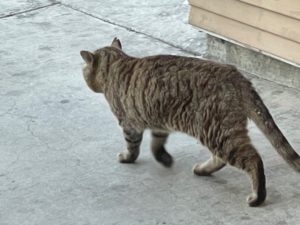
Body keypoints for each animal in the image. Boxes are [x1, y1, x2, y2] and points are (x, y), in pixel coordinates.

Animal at [79, 37, 300, 207]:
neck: (117, 65)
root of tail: (238, 77)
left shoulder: (130, 125)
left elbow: (133, 147)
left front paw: (127, 157)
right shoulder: (159, 125)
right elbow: (157, 145)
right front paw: (164, 159)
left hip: (217, 132)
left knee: (253, 159)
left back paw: (257, 196)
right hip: (220, 131)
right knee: (221, 159)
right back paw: (202, 169)